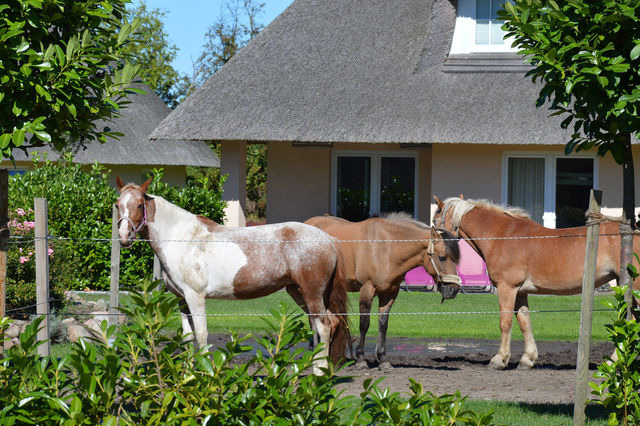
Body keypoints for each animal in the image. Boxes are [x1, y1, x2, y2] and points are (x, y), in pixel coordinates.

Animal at [112, 178, 348, 374]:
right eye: (117, 204)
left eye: (140, 205)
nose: (124, 237)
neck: (181, 238)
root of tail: (329, 240)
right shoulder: (182, 299)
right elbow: (188, 337)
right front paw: (188, 377)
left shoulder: (196, 297)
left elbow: (202, 335)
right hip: (299, 293)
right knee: (325, 325)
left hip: (311, 294)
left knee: (324, 326)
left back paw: (318, 376)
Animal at [304, 215, 460, 368]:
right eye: (442, 257)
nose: (453, 289)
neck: (386, 248)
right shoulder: (367, 290)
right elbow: (364, 324)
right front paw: (361, 359)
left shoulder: (389, 293)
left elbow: (383, 324)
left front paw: (383, 358)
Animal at [436, 196, 640, 370]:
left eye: (435, 222)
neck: (502, 236)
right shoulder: (520, 291)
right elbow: (524, 322)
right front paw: (528, 359)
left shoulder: (507, 287)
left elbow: (505, 322)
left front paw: (499, 359)